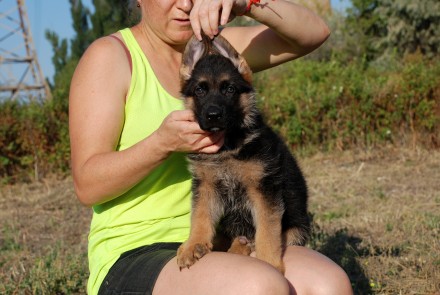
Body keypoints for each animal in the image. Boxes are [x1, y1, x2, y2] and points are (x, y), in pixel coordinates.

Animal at [176, 33, 310, 274]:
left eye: (229, 89)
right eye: (200, 90)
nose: (213, 115)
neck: (227, 146)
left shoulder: (264, 190)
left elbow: (267, 233)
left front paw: (269, 264)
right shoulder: (206, 185)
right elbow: (200, 215)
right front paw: (193, 244)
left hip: (296, 230)